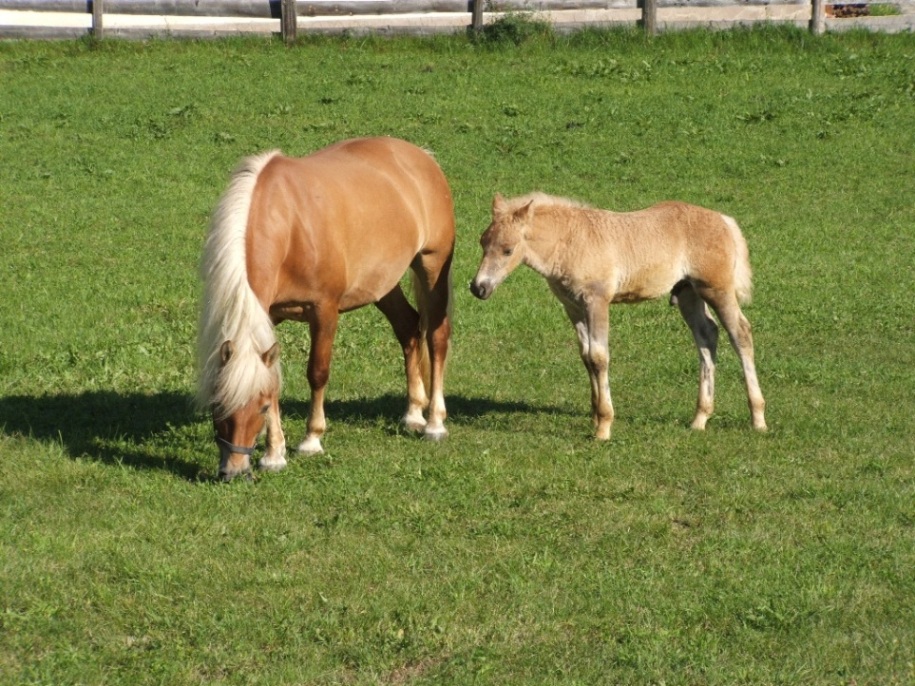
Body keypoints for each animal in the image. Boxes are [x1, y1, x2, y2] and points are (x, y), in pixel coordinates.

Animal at [197, 137, 455, 481]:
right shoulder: (267, 316)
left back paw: (434, 423)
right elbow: (273, 378)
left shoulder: (324, 311)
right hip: (382, 284)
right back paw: (413, 413)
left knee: (436, 339)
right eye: (216, 406)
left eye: (260, 408)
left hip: (432, 267)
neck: (288, 226)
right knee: (409, 328)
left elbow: (317, 373)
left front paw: (311, 440)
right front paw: (274, 454)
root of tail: (422, 157)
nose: (234, 471)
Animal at [470, 192, 766, 439]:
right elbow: (586, 355)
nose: (478, 287)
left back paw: (758, 417)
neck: (571, 240)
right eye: (482, 242)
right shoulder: (573, 308)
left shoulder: (597, 302)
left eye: (508, 249)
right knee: (707, 336)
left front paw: (604, 426)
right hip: (689, 294)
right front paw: (594, 415)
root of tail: (725, 221)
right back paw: (700, 418)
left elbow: (600, 357)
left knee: (740, 334)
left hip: (717, 289)